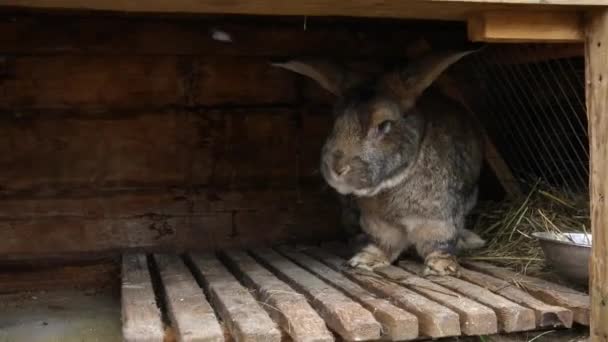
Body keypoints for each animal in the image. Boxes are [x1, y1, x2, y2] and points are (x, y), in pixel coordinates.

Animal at [274, 50, 484, 276]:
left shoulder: (439, 220)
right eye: (336, 121)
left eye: (384, 125)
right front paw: (365, 260)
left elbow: (439, 244)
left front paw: (441, 267)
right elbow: (382, 245)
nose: (336, 168)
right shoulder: (379, 225)